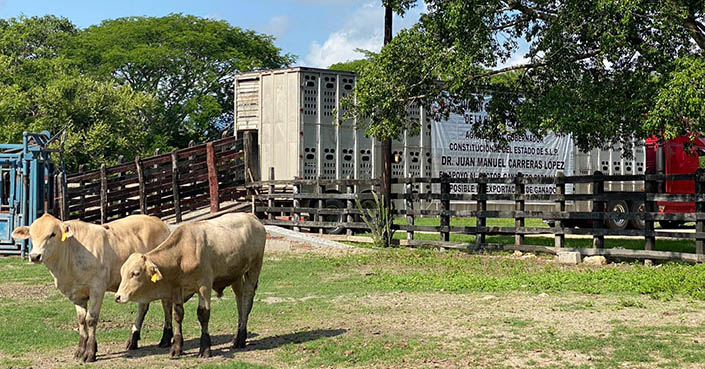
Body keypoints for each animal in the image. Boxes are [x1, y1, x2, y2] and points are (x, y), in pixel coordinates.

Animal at [11, 214, 173, 360]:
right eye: (31, 235)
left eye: (52, 234)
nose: (34, 256)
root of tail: (159, 222)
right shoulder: (76, 294)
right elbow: (81, 320)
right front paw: (80, 350)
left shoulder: (97, 288)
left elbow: (91, 319)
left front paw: (90, 353)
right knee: (142, 307)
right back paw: (132, 340)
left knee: (166, 305)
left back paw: (165, 338)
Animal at [117, 211, 266, 358]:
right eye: (122, 272)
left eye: (135, 273)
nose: (118, 296)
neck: (183, 254)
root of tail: (251, 216)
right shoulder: (177, 288)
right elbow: (177, 315)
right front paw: (176, 347)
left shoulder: (204, 285)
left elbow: (203, 314)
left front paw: (205, 348)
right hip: (236, 275)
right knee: (239, 302)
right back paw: (237, 336)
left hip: (254, 268)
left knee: (246, 301)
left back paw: (241, 338)